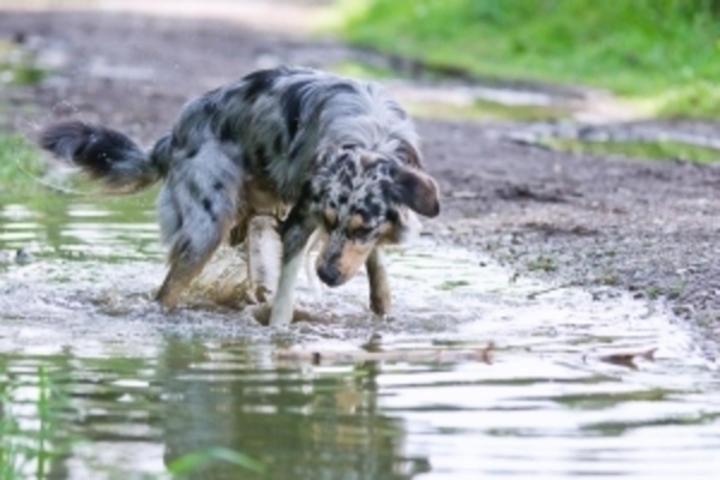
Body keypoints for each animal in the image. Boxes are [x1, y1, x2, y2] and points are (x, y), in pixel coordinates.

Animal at [40, 64, 444, 326]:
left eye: (363, 228)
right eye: (329, 221)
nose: (326, 274)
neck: (370, 137)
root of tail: (175, 135)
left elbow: (376, 266)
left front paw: (384, 311)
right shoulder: (301, 219)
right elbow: (284, 298)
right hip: (205, 230)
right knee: (167, 291)